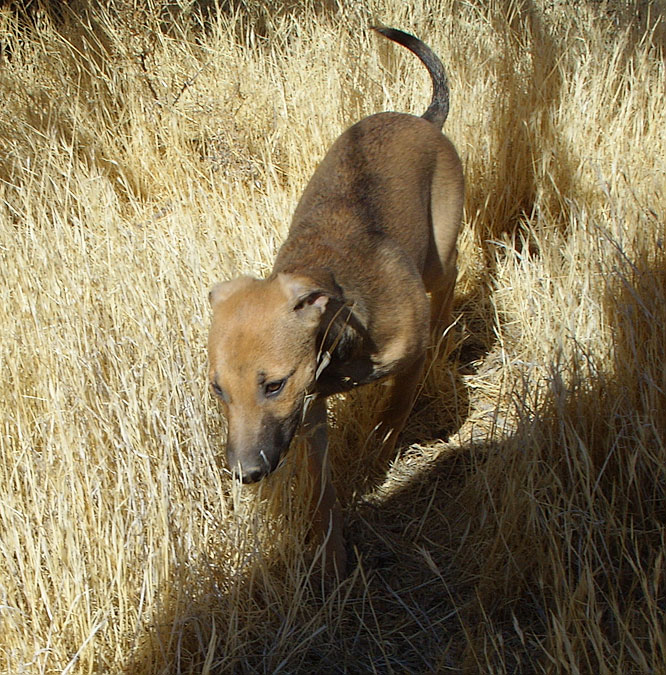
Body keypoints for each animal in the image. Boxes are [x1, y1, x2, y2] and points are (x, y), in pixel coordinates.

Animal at [207, 27, 464, 575]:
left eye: (274, 384)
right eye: (218, 389)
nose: (245, 474)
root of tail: (421, 118)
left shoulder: (407, 363)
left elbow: (390, 419)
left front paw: (378, 463)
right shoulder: (309, 414)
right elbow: (323, 490)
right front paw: (331, 551)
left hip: (440, 251)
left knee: (450, 275)